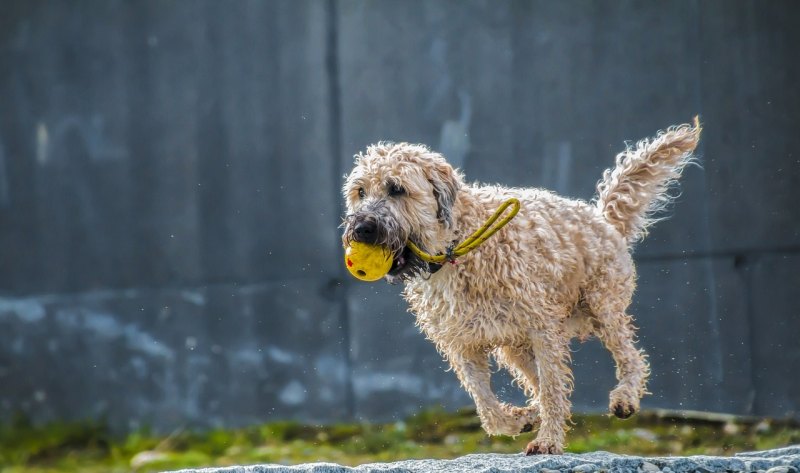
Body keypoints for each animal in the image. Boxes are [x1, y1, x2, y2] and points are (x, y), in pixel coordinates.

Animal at [340, 118, 704, 454]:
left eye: (396, 188)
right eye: (360, 192)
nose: (362, 229)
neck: (457, 246)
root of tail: (602, 220)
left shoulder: (543, 329)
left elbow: (553, 389)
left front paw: (548, 440)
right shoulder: (463, 344)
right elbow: (487, 403)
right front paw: (519, 420)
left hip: (603, 307)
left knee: (630, 357)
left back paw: (625, 399)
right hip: (515, 347)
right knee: (542, 381)